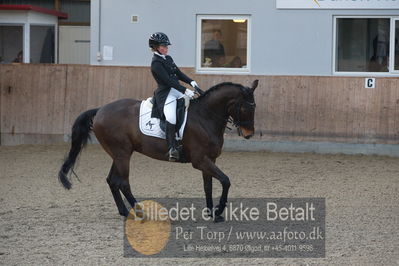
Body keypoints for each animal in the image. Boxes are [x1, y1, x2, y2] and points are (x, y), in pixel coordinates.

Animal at [58, 80, 260, 221]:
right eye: (245, 107)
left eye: (254, 107)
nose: (249, 134)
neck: (205, 116)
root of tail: (100, 110)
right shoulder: (200, 160)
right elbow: (225, 181)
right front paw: (218, 210)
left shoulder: (210, 160)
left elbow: (208, 186)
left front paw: (212, 213)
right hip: (122, 154)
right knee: (123, 182)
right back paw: (140, 213)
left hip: (119, 154)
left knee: (112, 180)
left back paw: (125, 211)